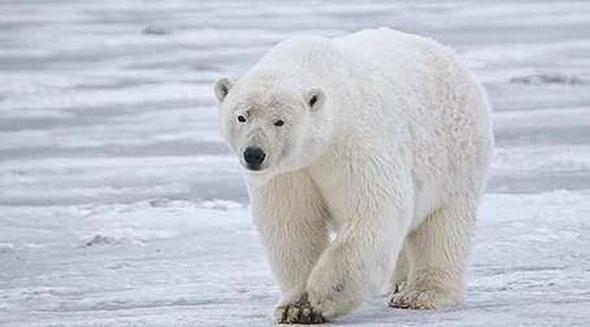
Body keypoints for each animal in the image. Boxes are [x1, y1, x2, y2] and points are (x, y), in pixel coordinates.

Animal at [213, 28, 494, 326]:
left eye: (279, 121)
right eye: (241, 116)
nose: (254, 154)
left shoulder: (354, 142)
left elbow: (374, 209)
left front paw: (324, 295)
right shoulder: (289, 172)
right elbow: (293, 225)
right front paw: (296, 308)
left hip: (455, 157)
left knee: (443, 227)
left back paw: (421, 294)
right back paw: (399, 283)